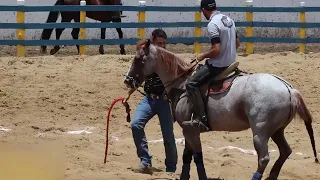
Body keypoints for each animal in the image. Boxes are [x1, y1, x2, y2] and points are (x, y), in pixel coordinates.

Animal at [124, 38, 318, 179]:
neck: (182, 84)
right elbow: (188, 155)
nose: (128, 81)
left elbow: (197, 156)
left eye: (139, 59)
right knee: (285, 152)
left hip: (260, 133)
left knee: (263, 158)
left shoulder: (191, 130)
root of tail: (288, 88)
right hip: (277, 131)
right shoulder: (188, 130)